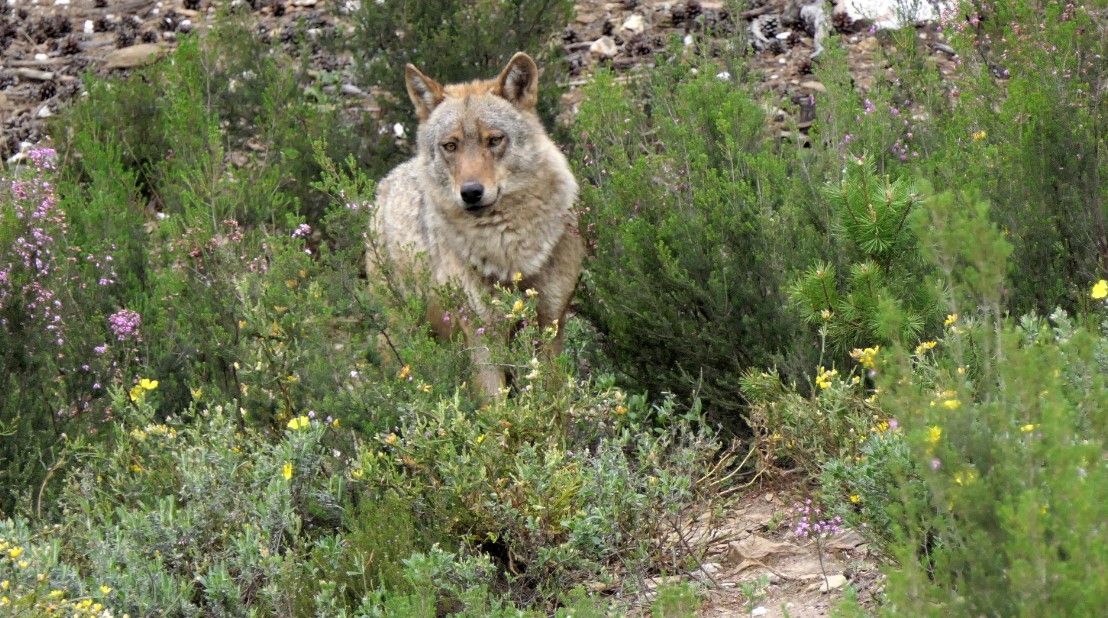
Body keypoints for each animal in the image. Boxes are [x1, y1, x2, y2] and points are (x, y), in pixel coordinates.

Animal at [369, 52, 584, 397]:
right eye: (450, 146)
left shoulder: (551, 325)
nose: (471, 193)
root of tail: (387, 181)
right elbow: (497, 410)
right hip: (407, 328)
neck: (511, 252)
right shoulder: (483, 336)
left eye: (494, 140)